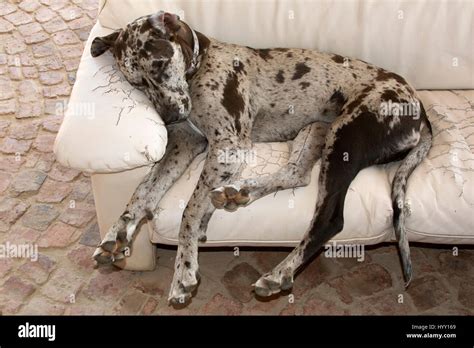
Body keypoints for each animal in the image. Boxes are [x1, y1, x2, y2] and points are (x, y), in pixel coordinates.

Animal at [90, 11, 434, 304]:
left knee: (329, 219)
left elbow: (188, 210)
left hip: (345, 138)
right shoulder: (186, 143)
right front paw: (118, 231)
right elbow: (144, 189)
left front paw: (184, 269)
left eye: (160, 64)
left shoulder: (228, 146)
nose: (170, 117)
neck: (202, 64)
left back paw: (278, 274)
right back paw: (238, 192)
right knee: (296, 174)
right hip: (316, 132)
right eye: (136, 83)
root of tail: (422, 113)